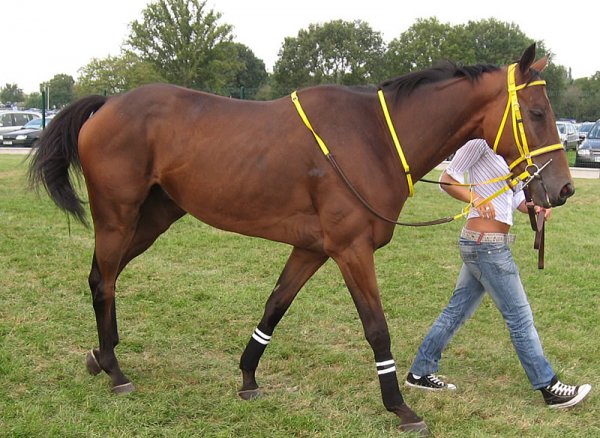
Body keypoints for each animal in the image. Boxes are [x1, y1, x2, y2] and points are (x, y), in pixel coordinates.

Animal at [30, 44, 576, 432]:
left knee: (102, 277)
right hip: (118, 218)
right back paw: (115, 370)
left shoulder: (312, 249)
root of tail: (108, 104)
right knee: (105, 281)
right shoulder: (351, 250)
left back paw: (101, 356)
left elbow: (275, 306)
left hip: (153, 218)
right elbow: (377, 328)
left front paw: (248, 376)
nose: (562, 189)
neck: (376, 138)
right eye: (536, 113)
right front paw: (399, 407)